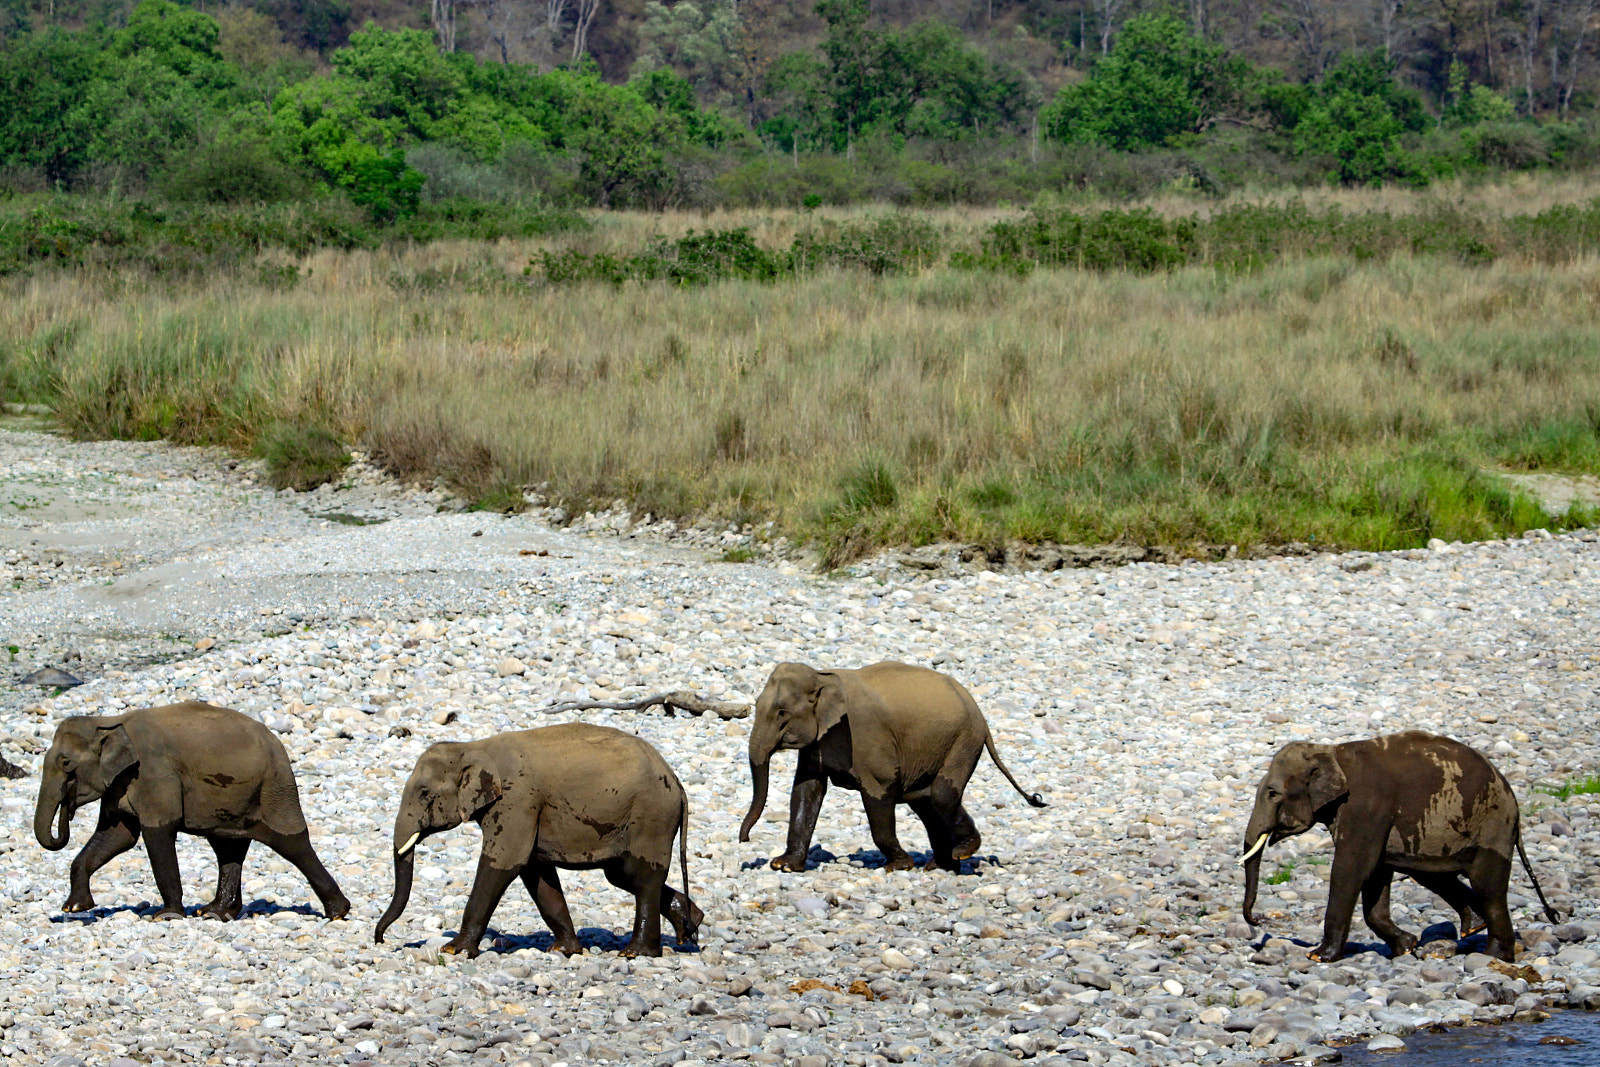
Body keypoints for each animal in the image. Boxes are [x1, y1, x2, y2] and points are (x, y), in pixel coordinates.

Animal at [34, 701, 350, 922]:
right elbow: (117, 837)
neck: (108, 722)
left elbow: (156, 833)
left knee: (291, 842)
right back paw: (215, 913)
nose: (68, 810)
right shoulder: (120, 783)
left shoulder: (154, 774)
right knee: (228, 847)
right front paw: (74, 908)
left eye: (66, 764)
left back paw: (337, 912)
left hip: (274, 788)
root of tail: (280, 746)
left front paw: (166, 916)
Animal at [374, 722, 702, 958]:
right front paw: (564, 950)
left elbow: (504, 863)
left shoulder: (517, 801)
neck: (474, 747)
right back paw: (691, 925)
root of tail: (677, 783)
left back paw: (636, 953)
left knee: (641, 876)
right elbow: (536, 873)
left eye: (424, 793)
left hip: (650, 816)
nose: (380, 939)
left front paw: (454, 950)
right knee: (622, 875)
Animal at [738, 661, 1046, 873]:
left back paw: (962, 852)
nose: (745, 841)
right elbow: (807, 790)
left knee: (942, 796)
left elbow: (879, 792)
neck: (822, 674)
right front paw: (784, 866)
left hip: (964, 741)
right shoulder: (818, 741)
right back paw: (942, 866)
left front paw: (900, 866)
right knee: (925, 803)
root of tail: (981, 716)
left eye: (782, 713)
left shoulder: (866, 736)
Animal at [1240, 731, 1559, 962]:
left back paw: (1494, 957)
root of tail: (1512, 798)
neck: (1331, 751)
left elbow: (1352, 868)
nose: (1258, 920)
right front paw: (1406, 946)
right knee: (1433, 874)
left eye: (1272, 794)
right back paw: (1474, 927)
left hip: (1492, 825)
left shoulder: (1366, 806)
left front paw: (1319, 957)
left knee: (1488, 886)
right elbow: (1376, 874)